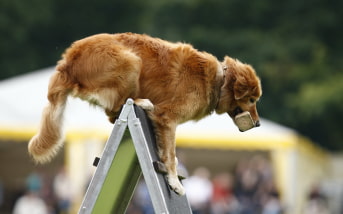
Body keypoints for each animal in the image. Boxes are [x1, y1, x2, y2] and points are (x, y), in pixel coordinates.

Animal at [28, 32, 262, 195]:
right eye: (251, 100)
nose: (259, 124)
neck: (219, 81)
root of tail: (68, 62)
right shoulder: (168, 117)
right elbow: (171, 155)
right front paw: (174, 182)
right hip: (131, 61)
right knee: (115, 108)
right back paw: (143, 102)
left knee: (112, 115)